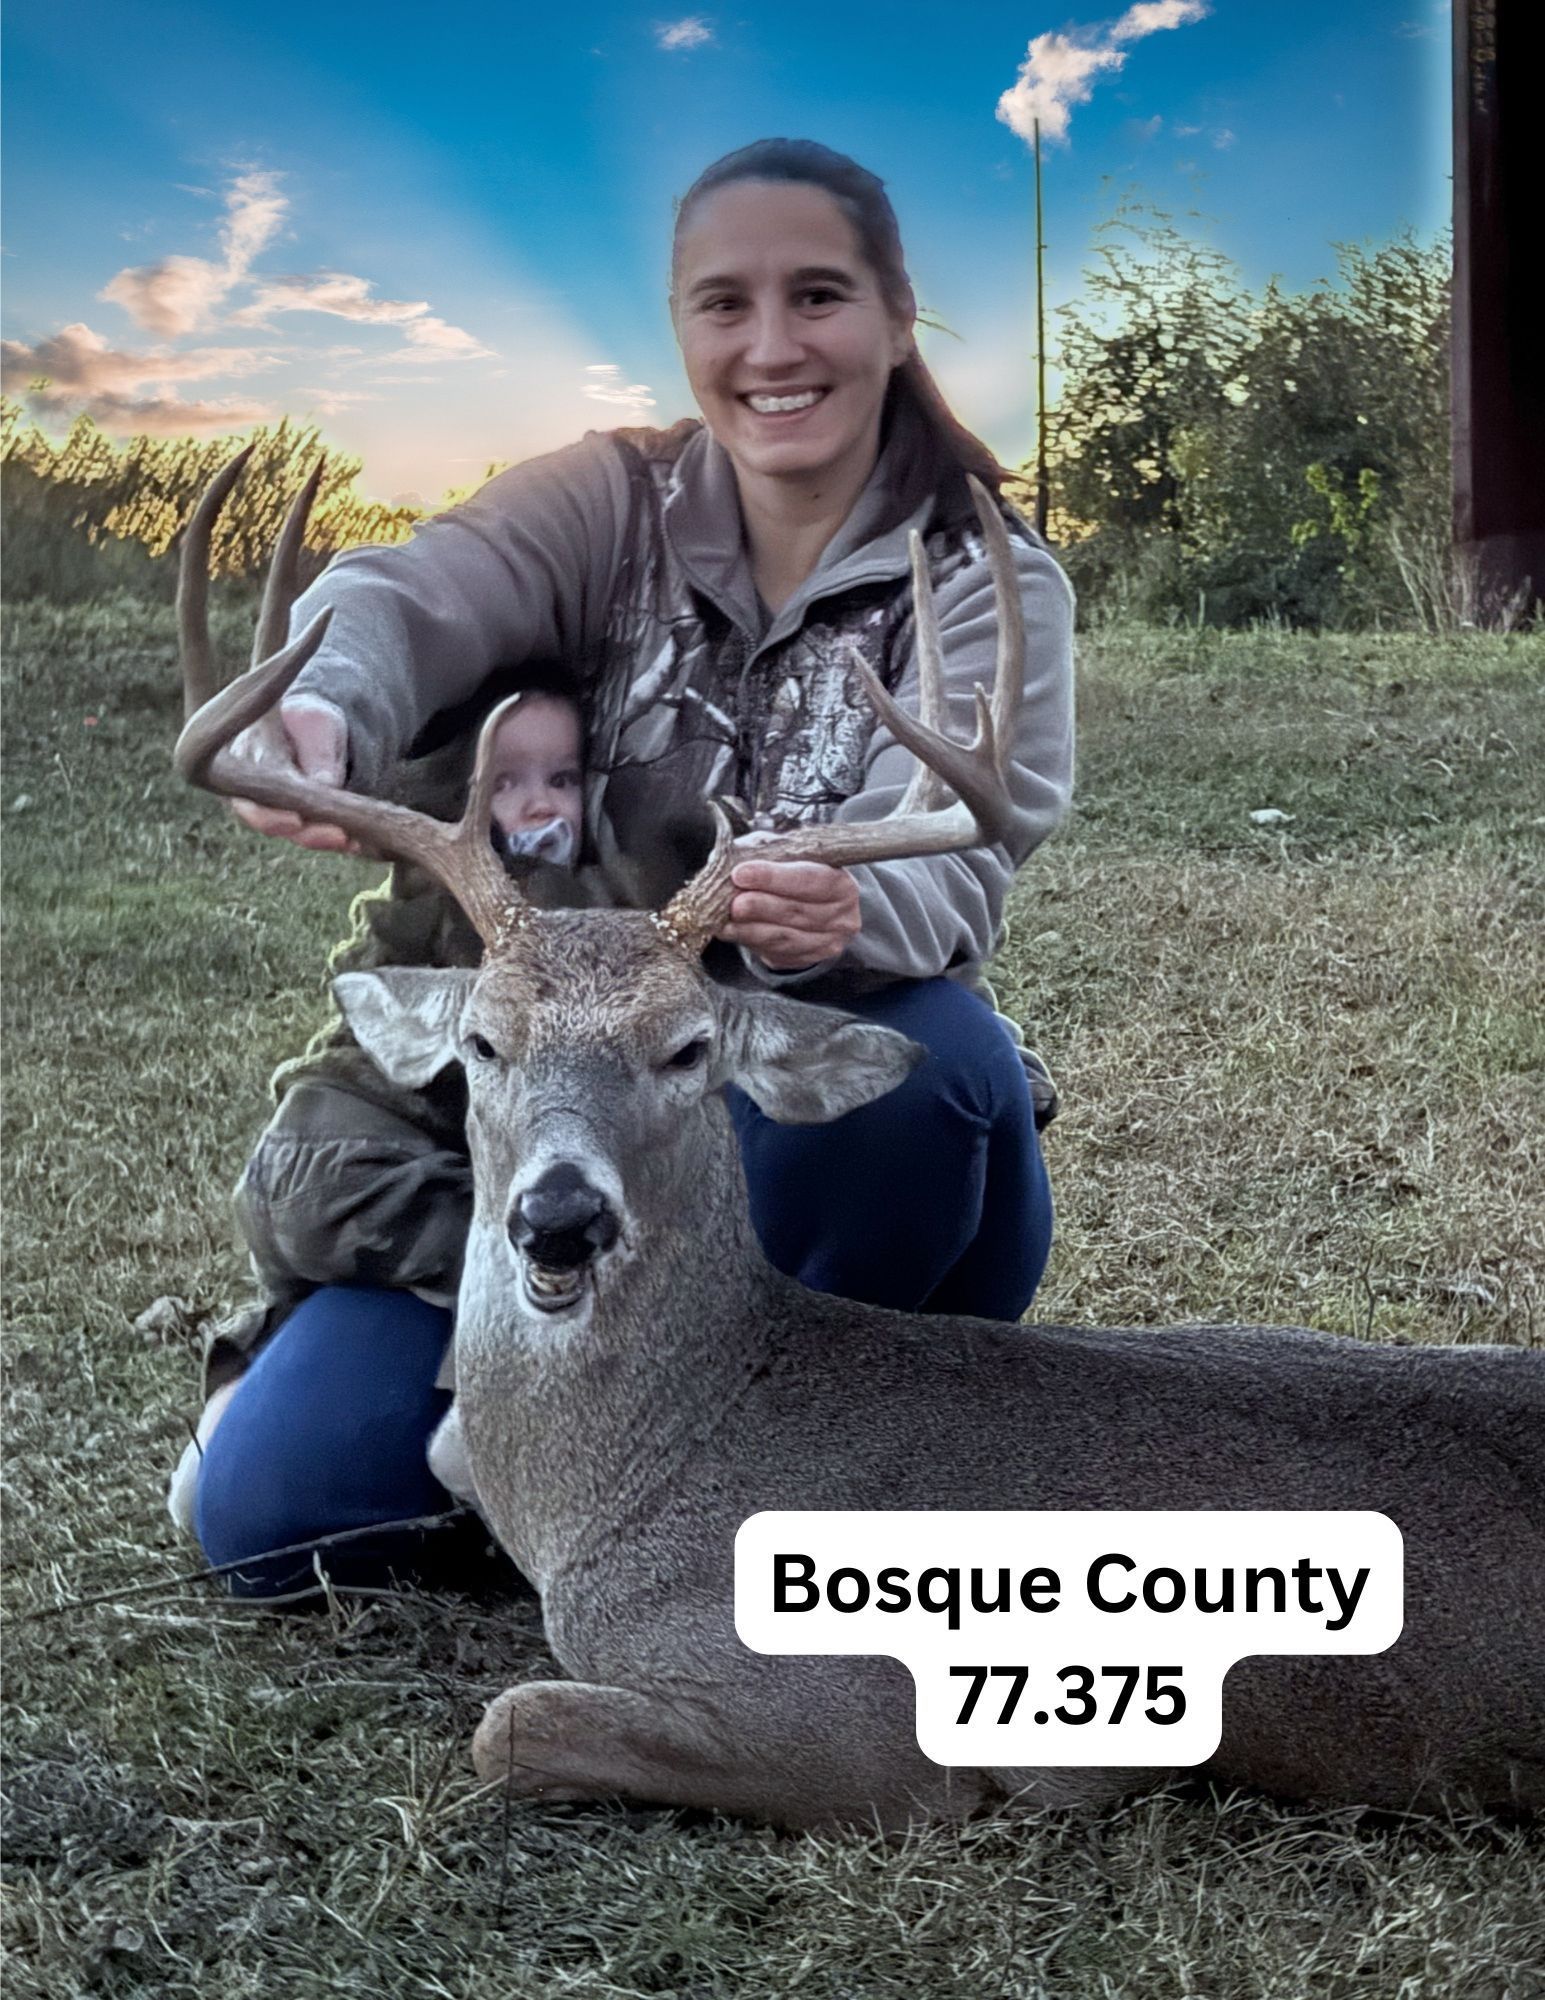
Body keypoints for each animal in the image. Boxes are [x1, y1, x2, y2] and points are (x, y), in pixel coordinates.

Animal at [175, 462, 1545, 1832]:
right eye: (481, 1043)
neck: (640, 1476)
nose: (560, 1216)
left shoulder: (866, 1729)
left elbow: (508, 1723)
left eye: (688, 1046)